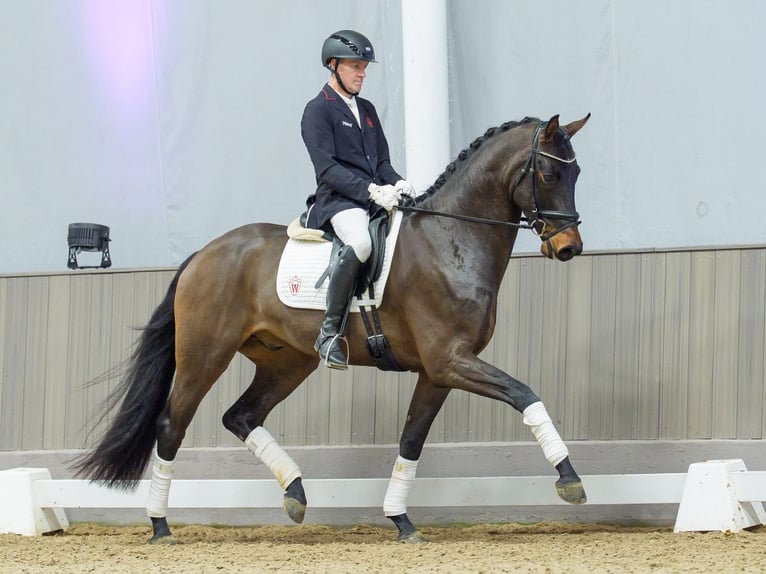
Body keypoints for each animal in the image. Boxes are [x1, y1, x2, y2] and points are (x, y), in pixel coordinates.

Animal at [73, 113, 591, 544]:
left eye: (577, 173)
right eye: (549, 175)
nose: (569, 248)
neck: (450, 241)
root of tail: (205, 252)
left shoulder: (437, 371)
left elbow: (411, 440)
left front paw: (400, 520)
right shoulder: (451, 360)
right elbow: (525, 395)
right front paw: (569, 479)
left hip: (287, 361)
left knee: (240, 416)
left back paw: (296, 494)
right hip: (205, 355)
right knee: (172, 425)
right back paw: (160, 526)